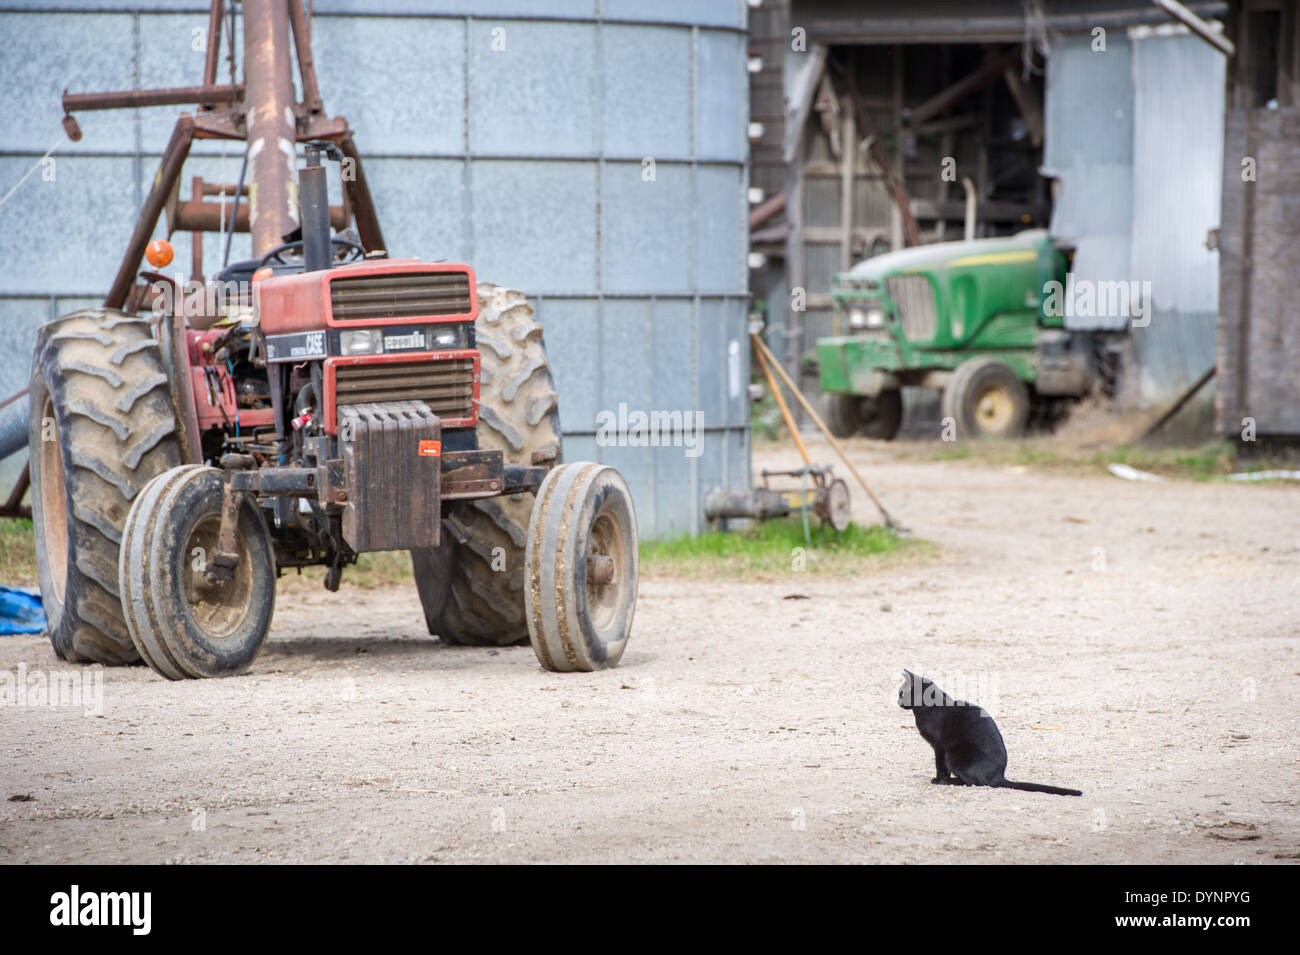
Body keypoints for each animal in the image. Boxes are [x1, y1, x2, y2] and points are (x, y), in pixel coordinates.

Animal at [899, 670, 1081, 795]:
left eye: (901, 693)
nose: (897, 701)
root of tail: (999, 775)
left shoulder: (939, 747)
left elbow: (940, 765)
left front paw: (938, 779)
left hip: (955, 757)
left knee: (975, 782)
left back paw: (949, 781)